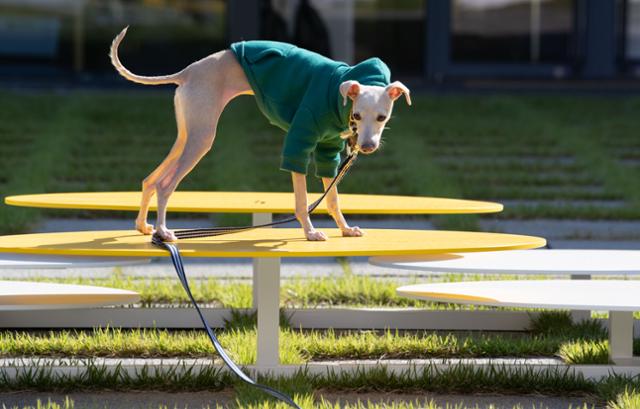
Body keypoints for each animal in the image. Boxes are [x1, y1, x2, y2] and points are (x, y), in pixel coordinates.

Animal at [109, 27, 410, 242]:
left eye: (382, 117)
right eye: (357, 116)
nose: (367, 146)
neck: (340, 95)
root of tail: (188, 71)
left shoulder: (329, 148)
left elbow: (332, 198)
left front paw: (346, 229)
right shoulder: (300, 139)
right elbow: (302, 200)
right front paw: (310, 232)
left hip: (186, 134)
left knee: (150, 180)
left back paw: (144, 227)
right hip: (201, 138)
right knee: (164, 184)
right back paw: (164, 231)